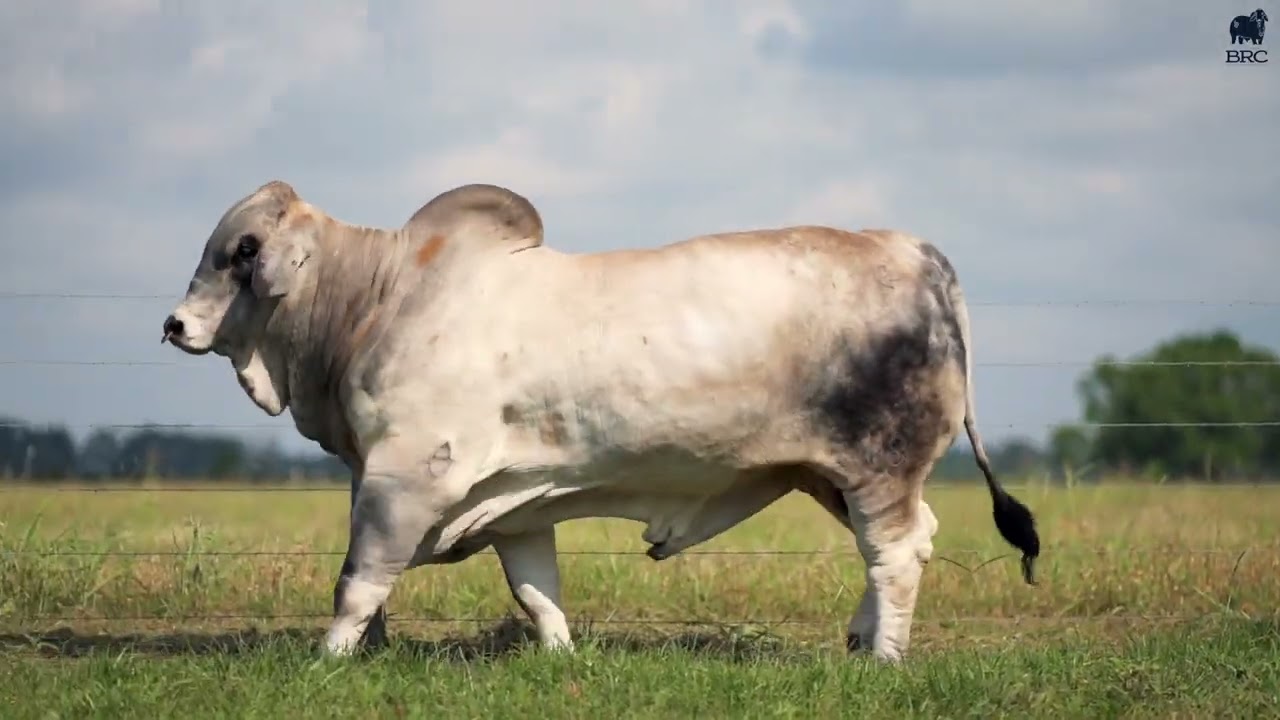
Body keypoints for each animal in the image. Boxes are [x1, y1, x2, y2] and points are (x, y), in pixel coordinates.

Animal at [161, 180, 1040, 663]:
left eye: (240, 250)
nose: (174, 325)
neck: (373, 300)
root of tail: (912, 249)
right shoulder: (514, 501)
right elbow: (536, 591)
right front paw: (559, 656)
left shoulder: (402, 477)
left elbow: (357, 582)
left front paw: (328, 660)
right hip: (827, 474)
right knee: (901, 545)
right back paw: (860, 641)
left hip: (878, 465)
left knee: (894, 555)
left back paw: (885, 656)